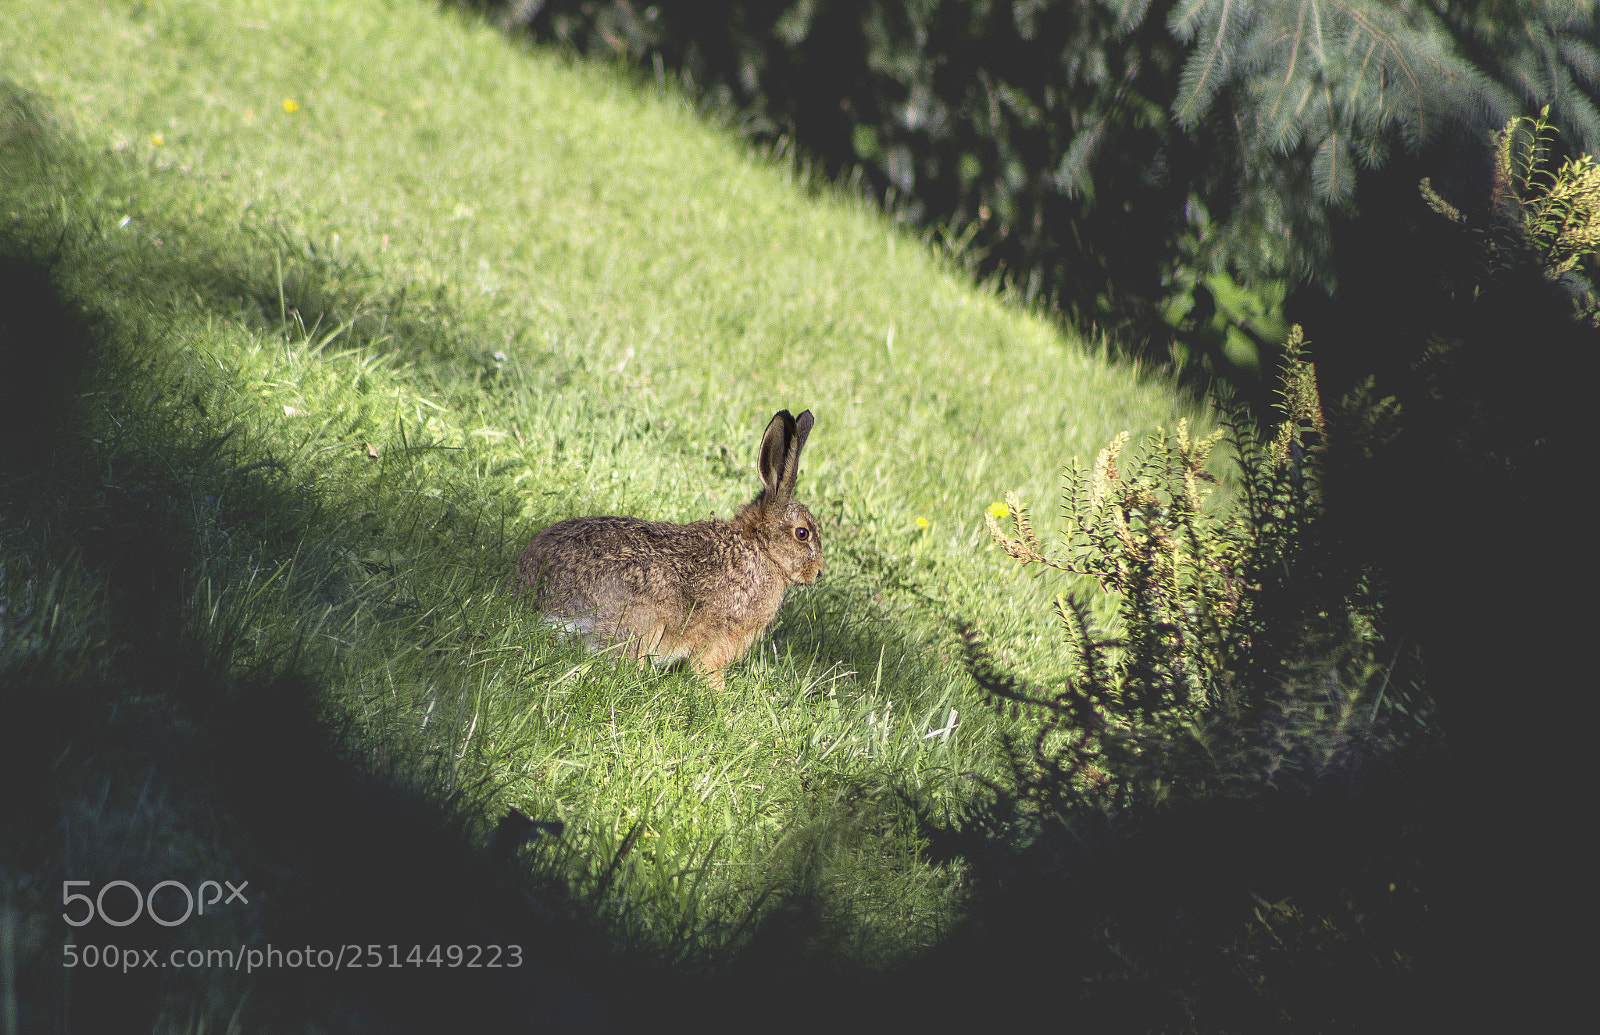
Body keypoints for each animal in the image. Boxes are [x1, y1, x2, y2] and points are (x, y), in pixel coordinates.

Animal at [512, 409, 822, 689]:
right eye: (802, 533)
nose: (818, 572)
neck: (760, 548)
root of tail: (540, 600)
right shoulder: (721, 635)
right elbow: (707, 666)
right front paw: (720, 692)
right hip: (641, 623)